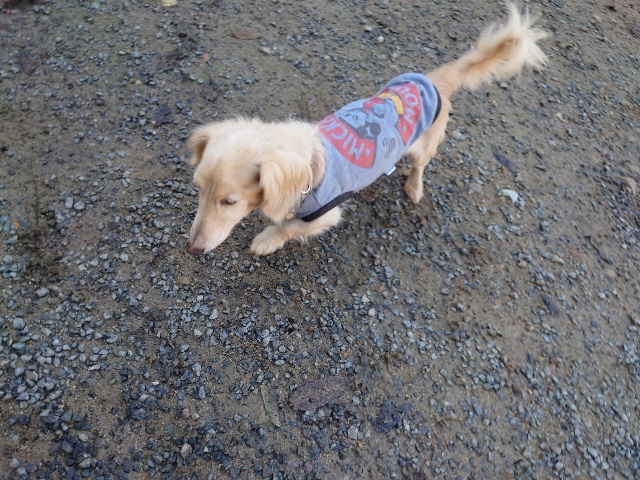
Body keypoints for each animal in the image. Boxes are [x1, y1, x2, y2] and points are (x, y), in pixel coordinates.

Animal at [185, 4, 547, 256]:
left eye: (229, 201)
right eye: (199, 189)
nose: (193, 249)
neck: (307, 169)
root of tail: (435, 80)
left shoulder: (325, 214)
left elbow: (289, 227)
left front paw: (265, 241)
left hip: (423, 146)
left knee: (420, 166)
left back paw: (414, 187)